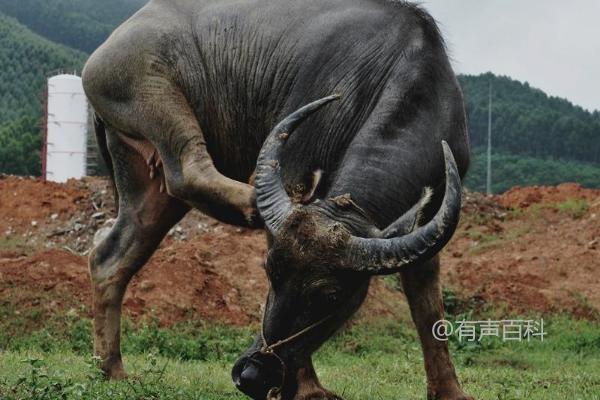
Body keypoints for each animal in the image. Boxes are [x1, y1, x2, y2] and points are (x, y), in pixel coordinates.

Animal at [82, 0, 472, 400]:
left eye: (330, 296)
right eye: (270, 272)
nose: (251, 375)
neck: (406, 83)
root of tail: (116, 38)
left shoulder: (428, 228)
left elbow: (429, 310)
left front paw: (450, 391)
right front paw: (308, 388)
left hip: (143, 180)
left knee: (112, 257)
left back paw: (111, 368)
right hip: (151, 90)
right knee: (187, 167)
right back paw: (252, 202)